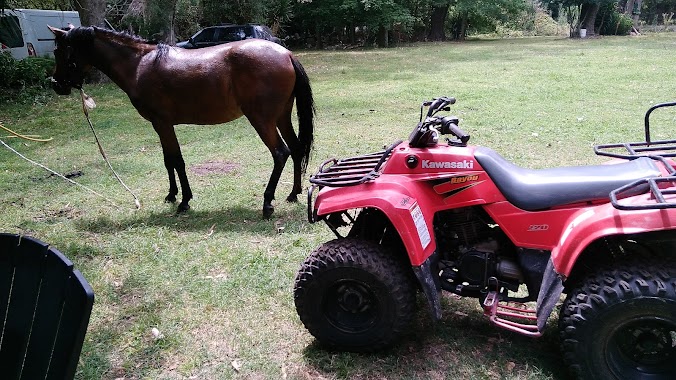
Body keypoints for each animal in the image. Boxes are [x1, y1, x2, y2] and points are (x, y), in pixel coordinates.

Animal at [48, 25, 316, 218]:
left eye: (59, 51)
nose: (56, 85)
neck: (139, 64)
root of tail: (286, 54)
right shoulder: (160, 126)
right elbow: (169, 160)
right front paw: (172, 195)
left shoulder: (162, 123)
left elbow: (177, 160)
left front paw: (184, 201)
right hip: (281, 116)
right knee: (295, 148)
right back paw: (293, 193)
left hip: (262, 120)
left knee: (280, 152)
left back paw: (267, 202)